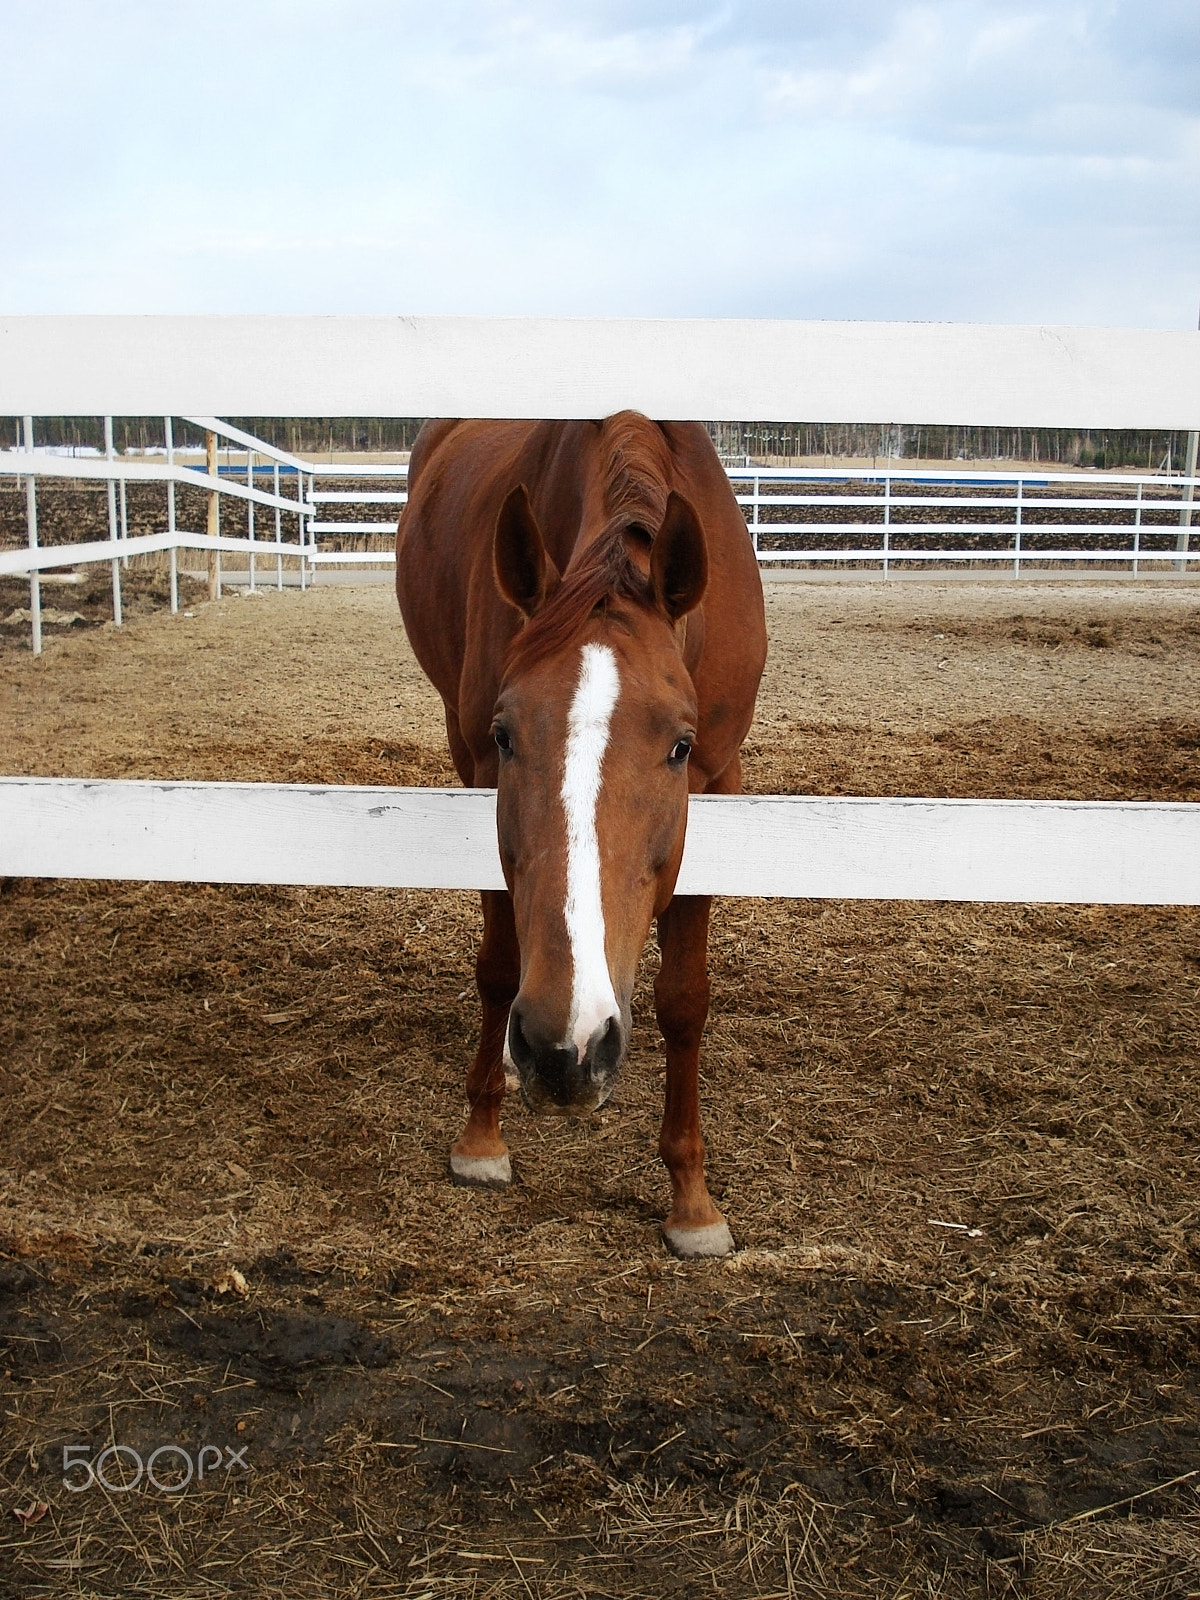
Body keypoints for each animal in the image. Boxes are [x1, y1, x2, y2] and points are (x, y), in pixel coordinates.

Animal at [396, 409, 771, 1248]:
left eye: (680, 745)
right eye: (507, 734)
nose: (565, 1050)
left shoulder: (719, 784)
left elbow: (685, 1000)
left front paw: (692, 1202)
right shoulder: (480, 769)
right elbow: (500, 964)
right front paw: (481, 1139)